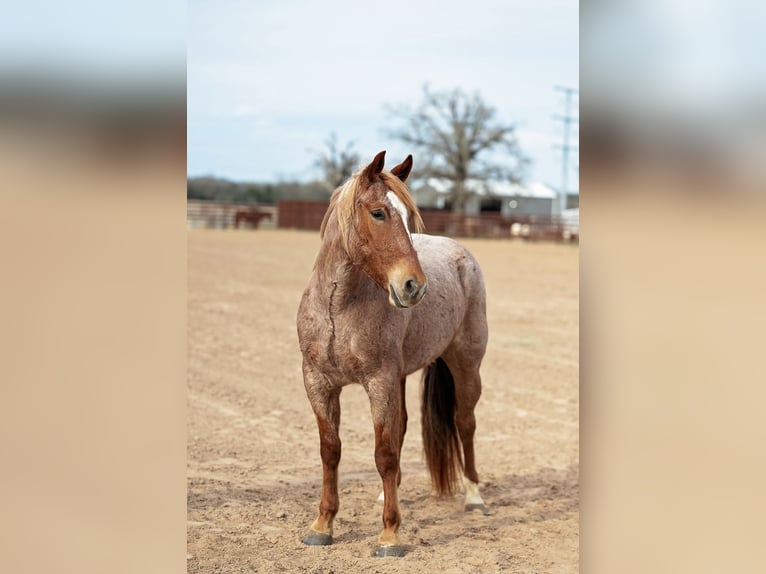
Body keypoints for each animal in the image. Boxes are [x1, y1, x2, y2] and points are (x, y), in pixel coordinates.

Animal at [296, 151, 489, 557]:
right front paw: (322, 525)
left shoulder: (379, 381)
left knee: (465, 423)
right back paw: (388, 495)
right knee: (402, 429)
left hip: (466, 366)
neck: (339, 308)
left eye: (408, 216)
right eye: (378, 213)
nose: (413, 286)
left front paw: (390, 536)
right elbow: (331, 450)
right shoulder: (319, 383)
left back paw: (474, 497)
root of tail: (461, 254)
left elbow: (383, 453)